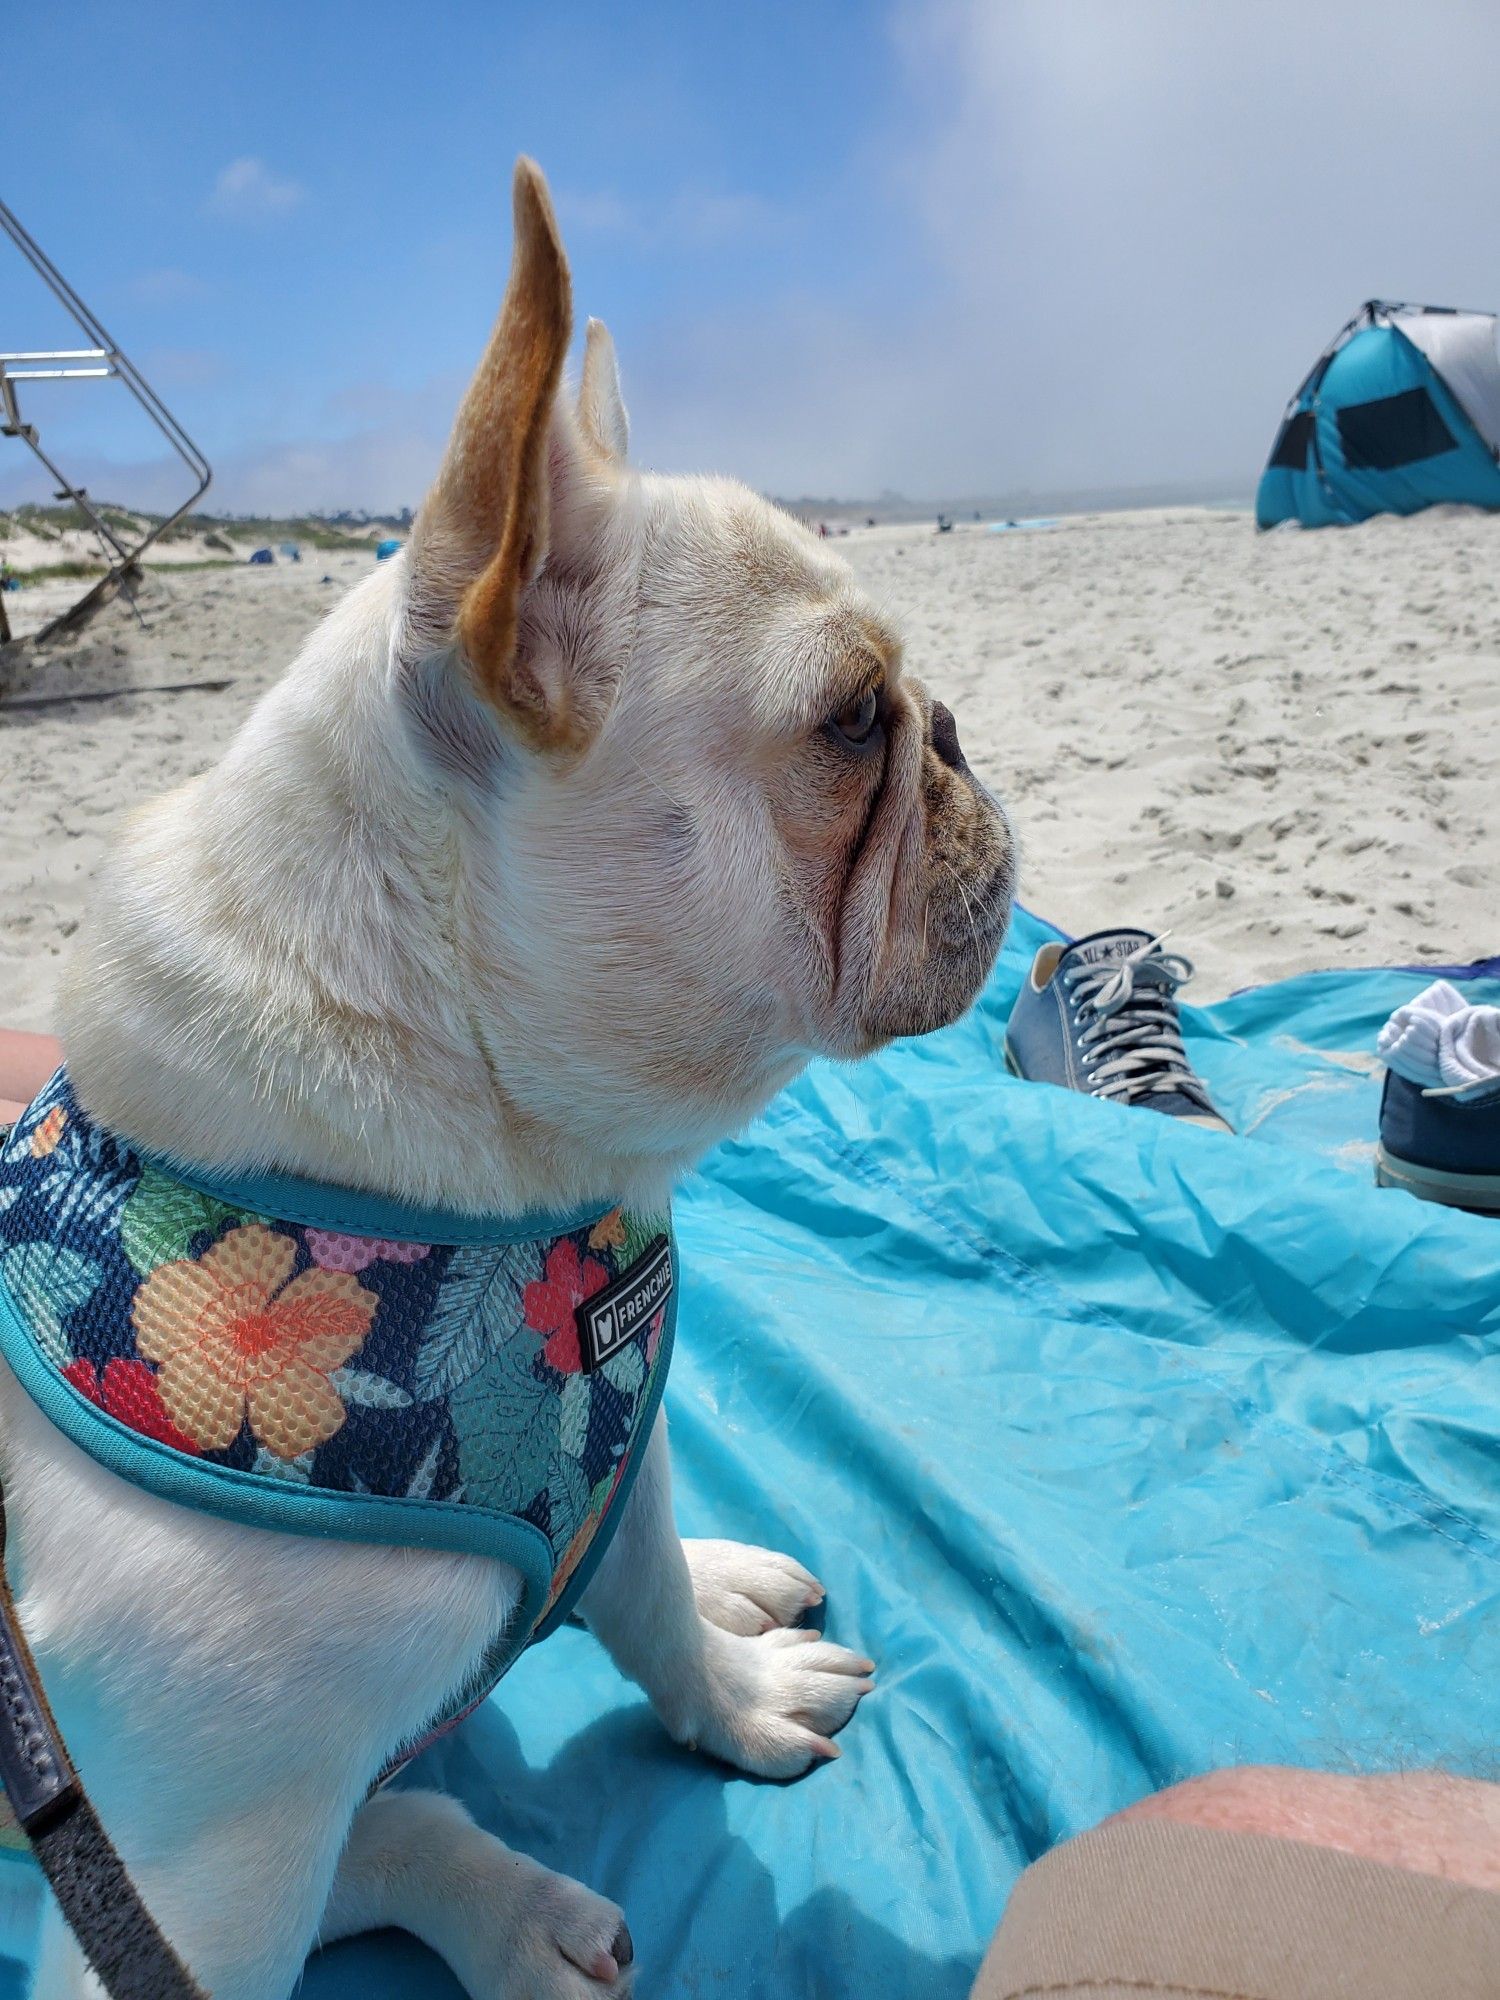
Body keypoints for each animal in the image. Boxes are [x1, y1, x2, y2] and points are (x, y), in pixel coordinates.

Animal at [2, 160, 1012, 2000]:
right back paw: (512, 1907)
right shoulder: (182, 1881)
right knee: (375, 1835)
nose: (957, 732)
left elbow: (652, 1607)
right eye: (850, 723)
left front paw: (728, 1688)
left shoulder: (630, 1429)